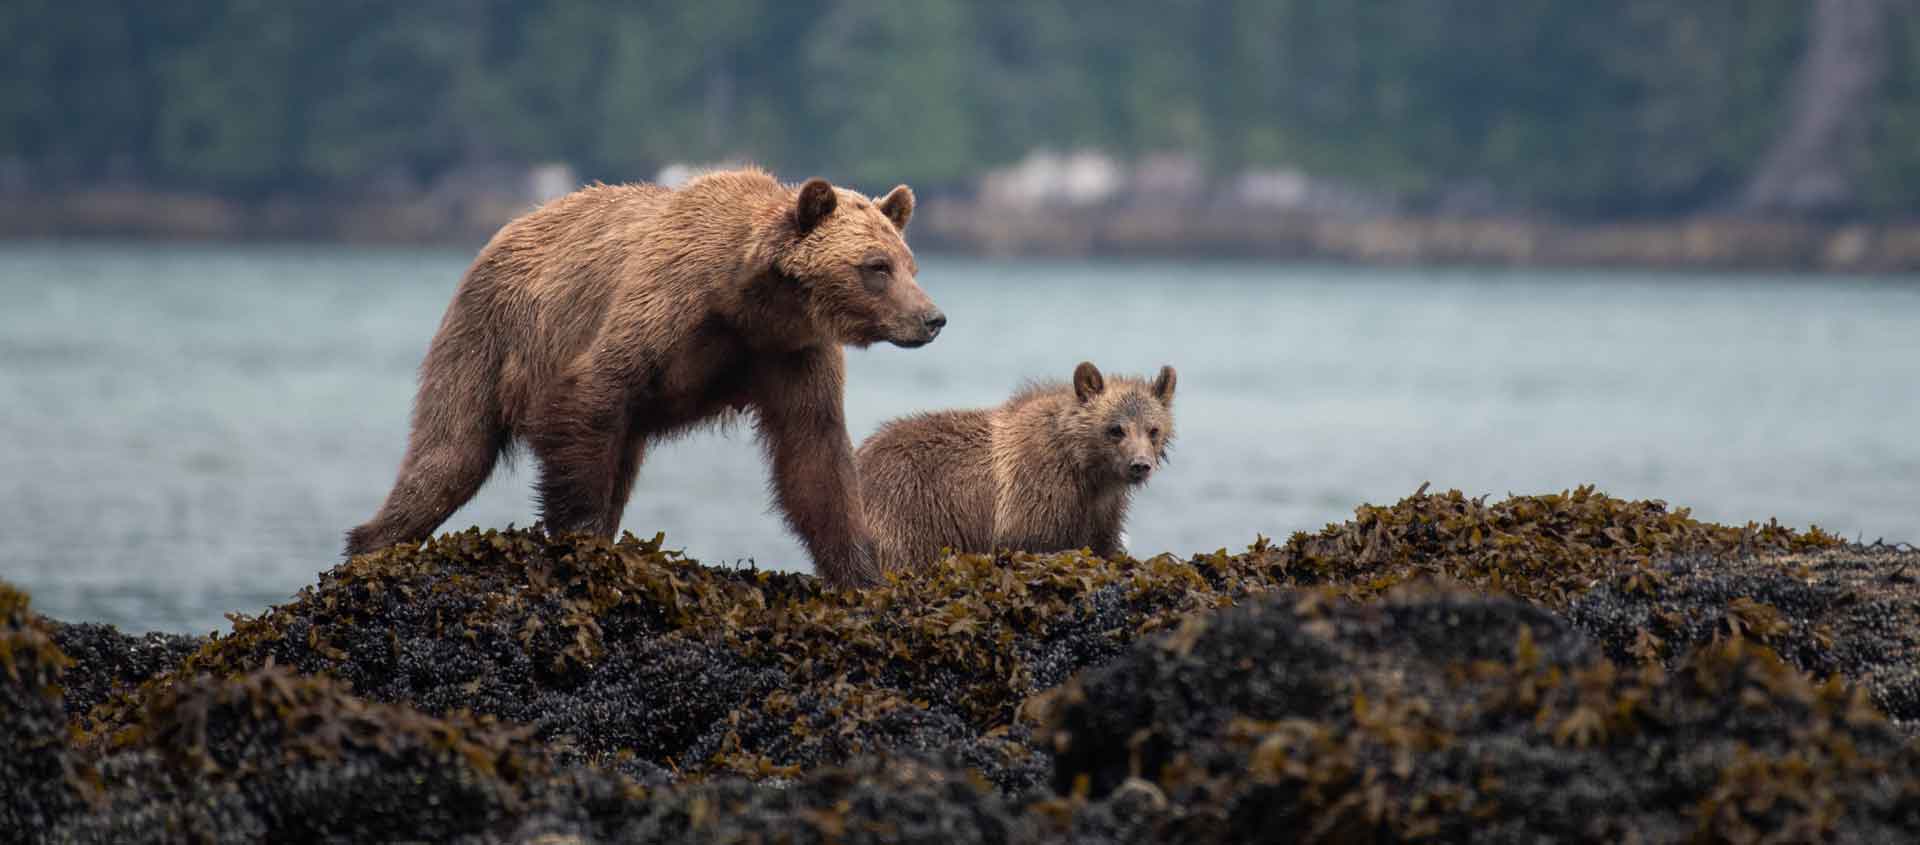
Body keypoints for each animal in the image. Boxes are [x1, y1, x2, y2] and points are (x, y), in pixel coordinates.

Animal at [344, 167, 945, 588]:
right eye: (876, 267)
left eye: (910, 264)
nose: (932, 318)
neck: (748, 300)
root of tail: (509, 225)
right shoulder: (663, 307)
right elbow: (589, 397)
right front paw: (583, 540)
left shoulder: (790, 354)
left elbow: (817, 459)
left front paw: (862, 574)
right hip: (488, 334)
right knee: (450, 453)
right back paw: (371, 545)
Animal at [856, 361, 1176, 573]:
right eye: (1116, 429)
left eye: (1153, 429)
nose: (1140, 464)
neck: (1086, 467)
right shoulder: (1036, 491)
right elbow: (1031, 542)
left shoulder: (1102, 509)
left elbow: (1104, 544)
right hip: (906, 507)